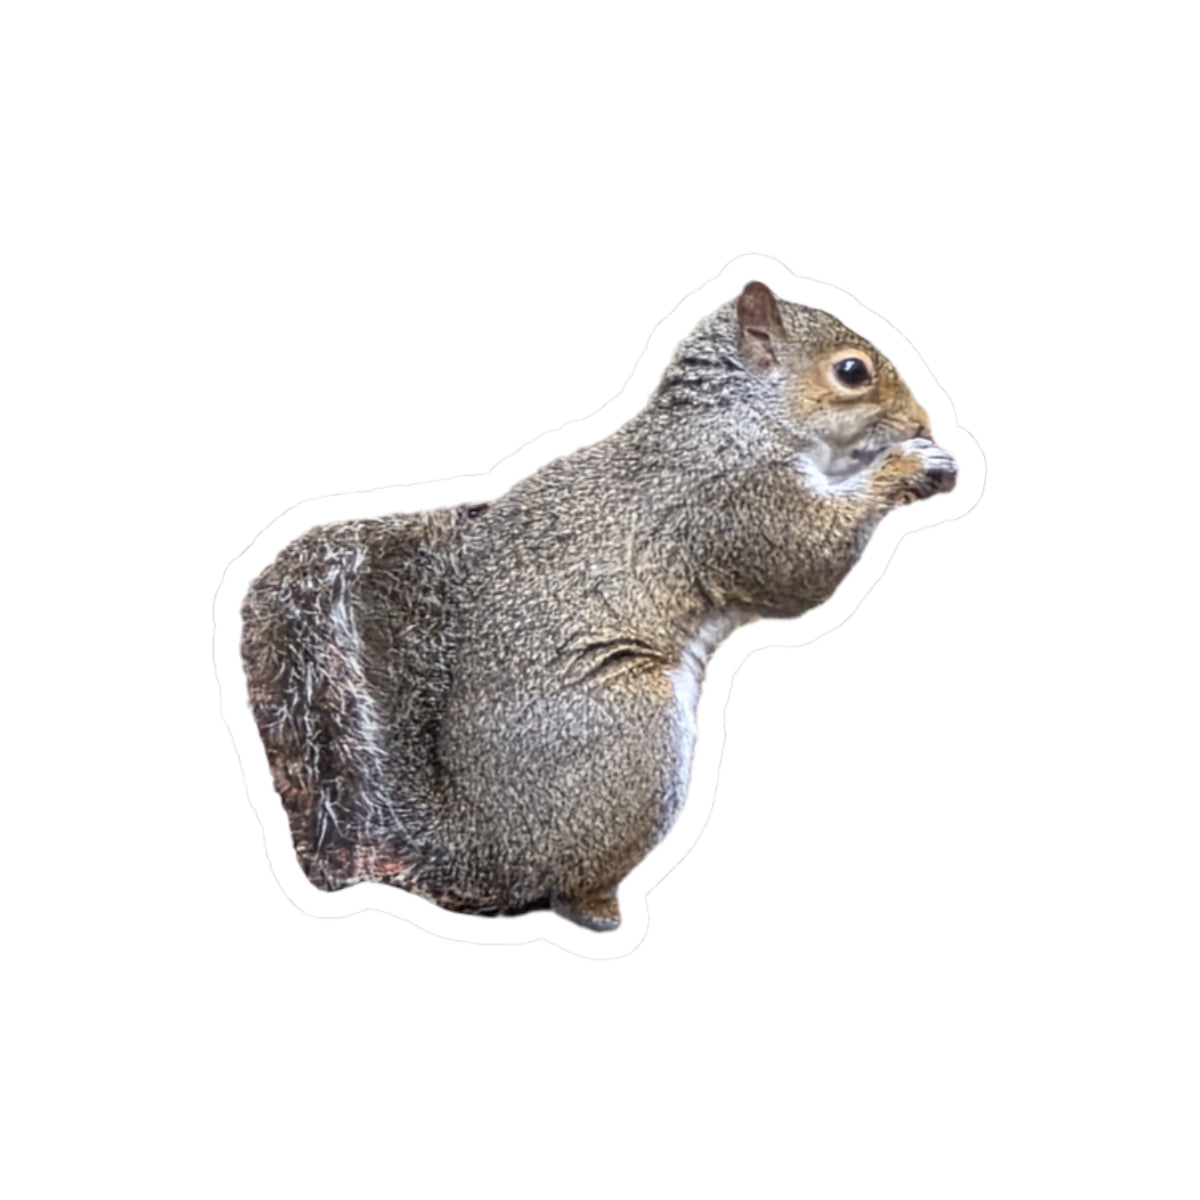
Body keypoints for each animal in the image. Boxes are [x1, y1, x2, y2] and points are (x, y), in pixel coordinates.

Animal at [241, 281, 957, 930]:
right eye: (851, 371)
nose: (923, 422)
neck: (737, 419)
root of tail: (483, 855)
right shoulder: (735, 500)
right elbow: (801, 565)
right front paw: (906, 467)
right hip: (629, 726)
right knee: (565, 888)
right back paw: (601, 910)